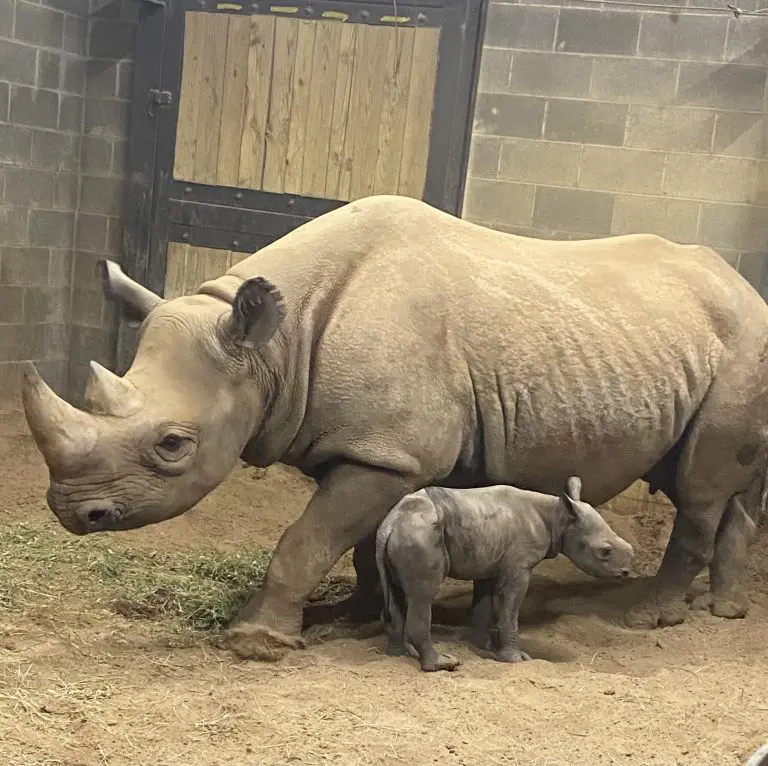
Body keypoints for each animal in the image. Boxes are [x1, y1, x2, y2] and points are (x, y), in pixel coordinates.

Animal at [375, 477, 633, 671]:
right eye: (604, 551)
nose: (626, 572)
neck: (558, 517)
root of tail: (390, 523)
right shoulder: (519, 567)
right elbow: (510, 609)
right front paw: (516, 659)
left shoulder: (487, 560)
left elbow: (482, 604)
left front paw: (482, 647)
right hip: (420, 536)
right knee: (423, 595)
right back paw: (442, 665)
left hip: (408, 534)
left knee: (397, 594)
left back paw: (400, 654)